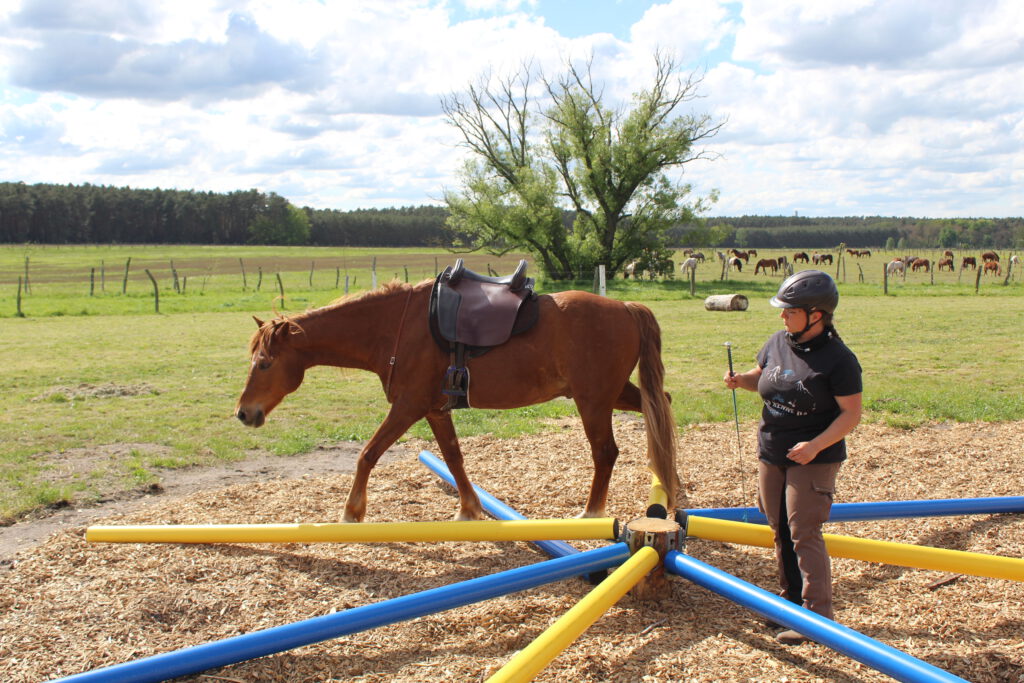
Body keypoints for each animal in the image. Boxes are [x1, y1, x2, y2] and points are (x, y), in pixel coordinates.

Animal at [233, 278, 679, 524]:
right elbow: (453, 458)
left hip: (593, 401)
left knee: (605, 452)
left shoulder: (408, 406)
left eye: (265, 363)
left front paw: (351, 512)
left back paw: (592, 512)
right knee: (661, 408)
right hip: (613, 394)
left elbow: (367, 454)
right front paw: (468, 508)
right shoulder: (433, 410)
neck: (394, 328)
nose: (243, 413)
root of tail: (625, 307)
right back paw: (670, 482)